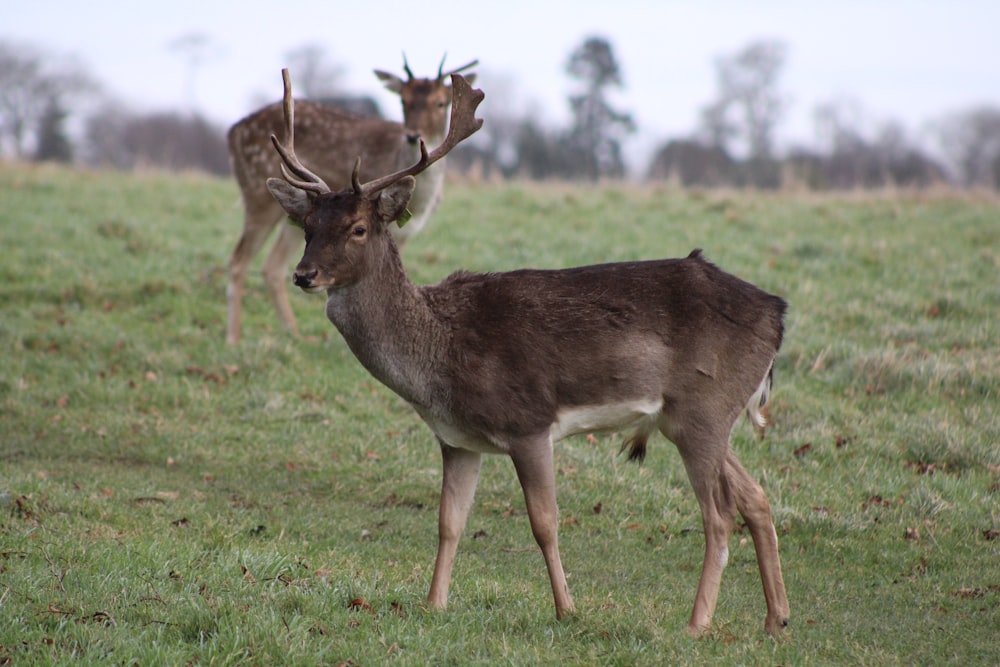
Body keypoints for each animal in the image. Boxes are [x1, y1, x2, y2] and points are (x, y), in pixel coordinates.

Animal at [227, 55, 476, 344]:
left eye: (441, 102)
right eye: (403, 101)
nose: (414, 136)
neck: (422, 201)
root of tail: (232, 133)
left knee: (272, 266)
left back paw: (295, 335)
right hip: (258, 196)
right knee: (238, 261)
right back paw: (233, 339)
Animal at [264, 70, 788, 640]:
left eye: (358, 228)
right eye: (307, 227)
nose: (304, 275)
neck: (439, 360)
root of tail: (777, 313)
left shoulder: (529, 421)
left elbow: (544, 523)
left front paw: (567, 610)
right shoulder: (457, 440)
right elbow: (448, 522)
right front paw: (434, 604)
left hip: (703, 408)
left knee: (720, 512)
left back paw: (696, 625)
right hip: (695, 416)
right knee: (756, 496)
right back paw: (775, 618)